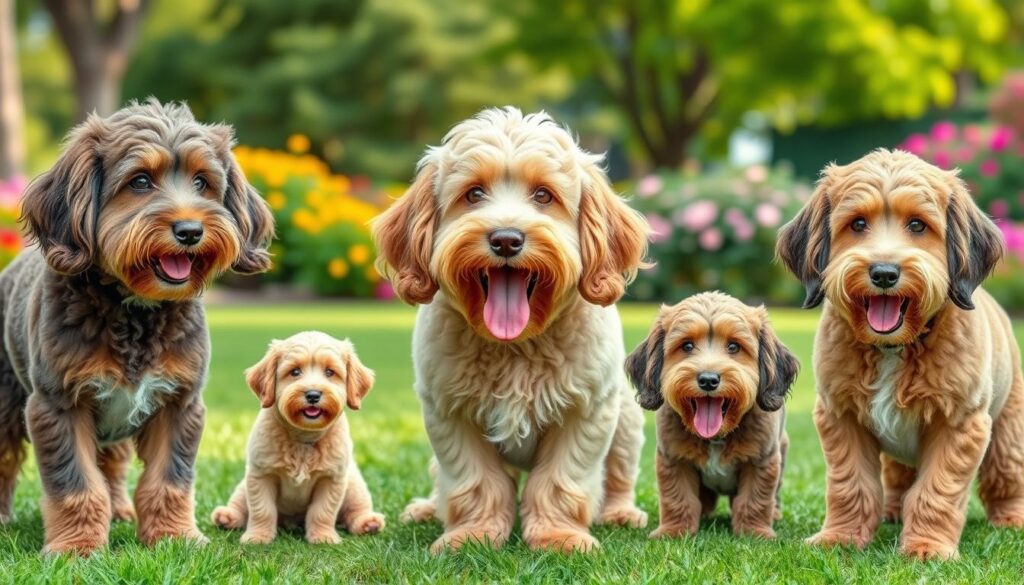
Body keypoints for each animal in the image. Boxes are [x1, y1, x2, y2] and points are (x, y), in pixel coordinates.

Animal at [210, 331, 385, 549]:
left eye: (330, 372)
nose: (313, 395)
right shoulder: (261, 475)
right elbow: (262, 509)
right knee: (240, 504)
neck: (304, 438)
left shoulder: (331, 479)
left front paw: (322, 537)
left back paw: (368, 523)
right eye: (294, 372)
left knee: (356, 508)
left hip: (353, 485)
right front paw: (258, 536)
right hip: (243, 486)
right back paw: (227, 517)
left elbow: (322, 511)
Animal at [374, 106, 647, 553]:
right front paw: (472, 535)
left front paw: (558, 535)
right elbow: (474, 482)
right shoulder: (449, 413)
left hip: (624, 418)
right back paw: (428, 508)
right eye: (473, 194)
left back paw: (620, 512)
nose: (505, 239)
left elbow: (560, 481)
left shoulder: (587, 411)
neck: (515, 346)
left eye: (543, 196)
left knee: (621, 473)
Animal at [622, 290, 798, 540]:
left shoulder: (762, 460)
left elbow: (754, 499)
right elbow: (677, 497)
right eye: (687, 346)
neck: (716, 437)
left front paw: (754, 532)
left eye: (734, 347)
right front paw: (673, 531)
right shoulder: (673, 459)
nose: (708, 380)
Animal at [778, 148, 1019, 561]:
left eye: (918, 225)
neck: (895, 347)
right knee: (897, 477)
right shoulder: (842, 417)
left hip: (1007, 430)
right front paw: (841, 536)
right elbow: (852, 485)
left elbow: (936, 490)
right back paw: (892, 511)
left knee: (1005, 476)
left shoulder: (959, 424)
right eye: (858, 223)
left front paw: (928, 546)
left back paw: (1011, 518)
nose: (884, 273)